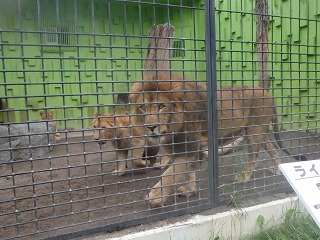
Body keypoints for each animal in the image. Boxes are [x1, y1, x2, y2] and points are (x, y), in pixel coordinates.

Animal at [129, 71, 304, 208]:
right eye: (143, 107)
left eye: (161, 106)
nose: (151, 127)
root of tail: (268, 94)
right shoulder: (191, 149)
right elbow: (190, 172)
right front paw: (190, 190)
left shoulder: (189, 148)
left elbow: (169, 175)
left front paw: (155, 197)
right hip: (261, 131)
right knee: (274, 149)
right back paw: (276, 169)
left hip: (254, 132)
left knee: (253, 158)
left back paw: (244, 178)